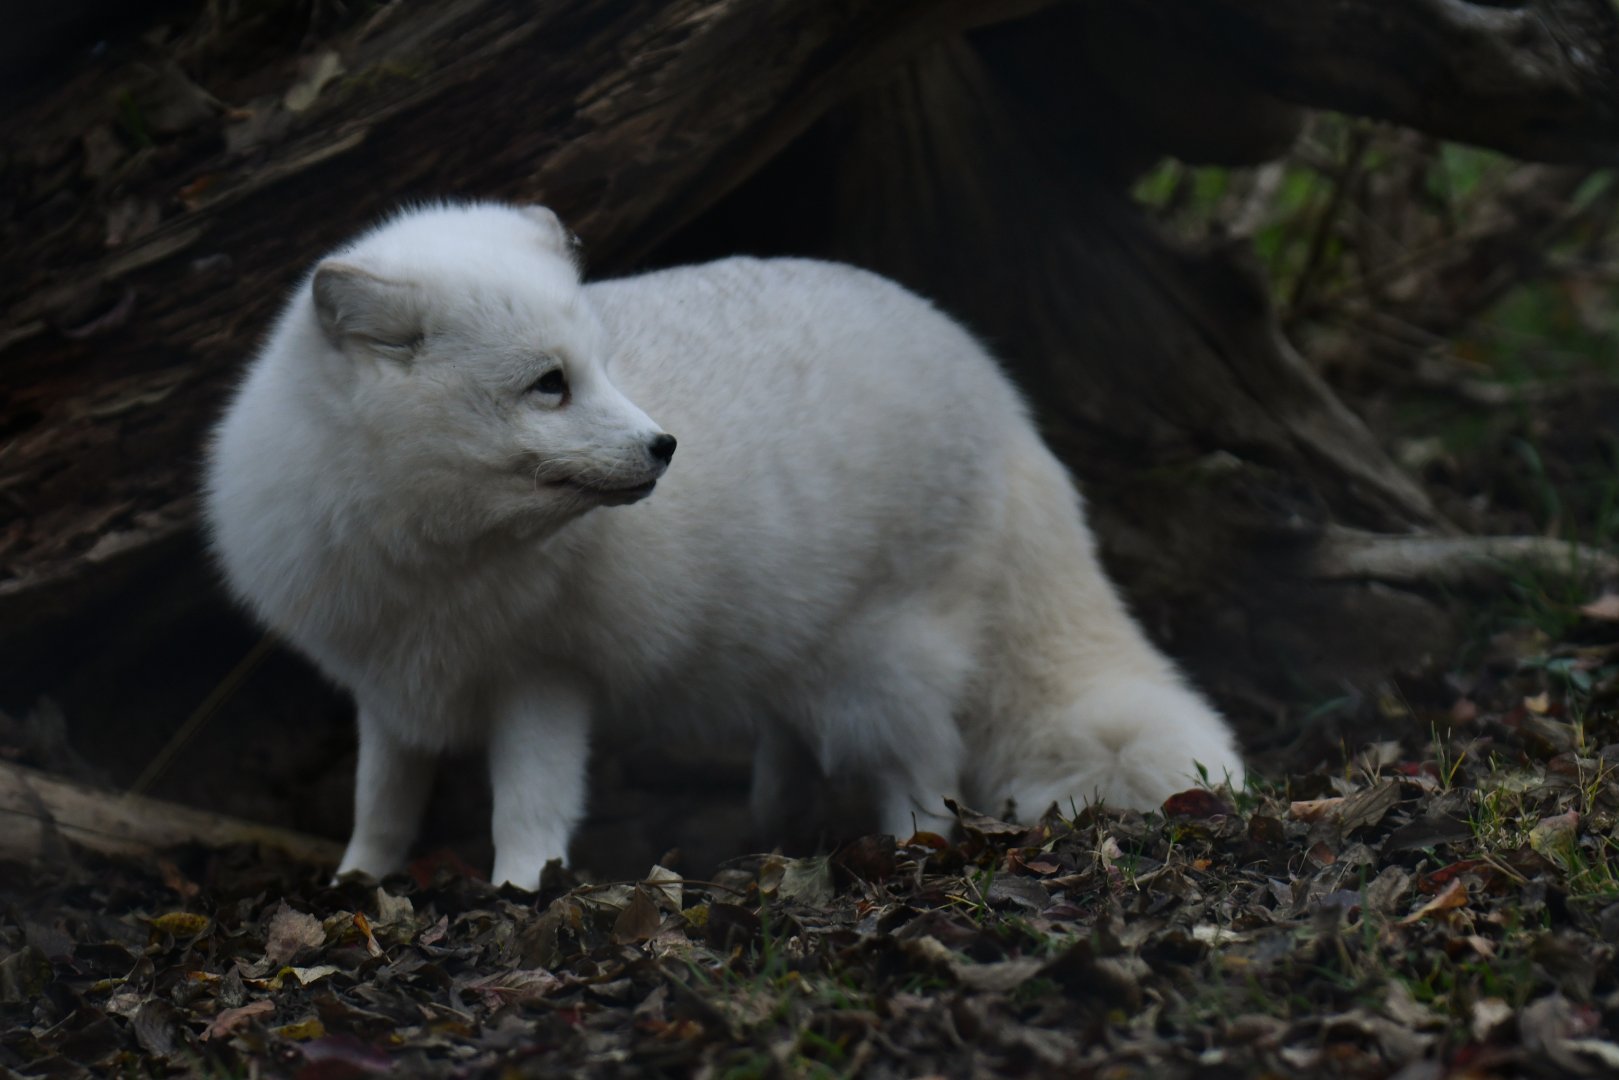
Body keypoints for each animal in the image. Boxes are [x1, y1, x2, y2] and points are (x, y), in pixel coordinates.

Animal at [203, 201, 1243, 888]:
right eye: (549, 384)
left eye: (603, 368)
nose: (663, 445)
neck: (431, 555)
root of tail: (1004, 398)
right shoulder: (387, 684)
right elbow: (379, 804)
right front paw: (356, 888)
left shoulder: (544, 679)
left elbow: (528, 806)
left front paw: (520, 895)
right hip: (798, 646)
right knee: (796, 742)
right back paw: (763, 825)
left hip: (886, 665)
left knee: (929, 775)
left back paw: (913, 853)